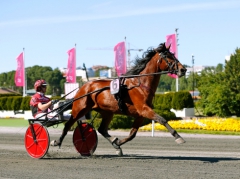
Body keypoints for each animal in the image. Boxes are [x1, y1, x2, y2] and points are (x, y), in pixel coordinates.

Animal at [53, 43, 188, 155]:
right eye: (168, 56)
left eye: (173, 55)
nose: (183, 69)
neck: (141, 84)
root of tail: (84, 86)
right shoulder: (144, 109)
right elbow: (162, 119)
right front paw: (178, 137)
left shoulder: (141, 114)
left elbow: (132, 134)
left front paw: (118, 143)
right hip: (80, 108)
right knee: (68, 124)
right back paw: (57, 141)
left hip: (107, 112)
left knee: (102, 129)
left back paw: (114, 144)